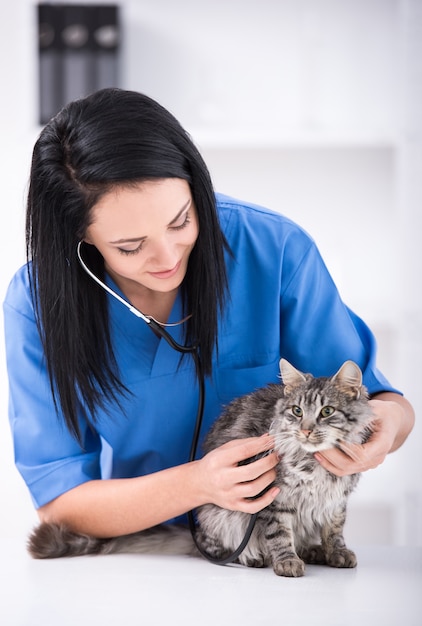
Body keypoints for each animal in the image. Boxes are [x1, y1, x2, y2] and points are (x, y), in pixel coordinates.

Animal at [28, 358, 372, 576]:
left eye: (326, 412)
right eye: (297, 411)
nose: (306, 430)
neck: (314, 466)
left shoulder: (336, 501)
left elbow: (334, 531)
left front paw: (336, 552)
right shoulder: (274, 501)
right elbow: (279, 535)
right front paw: (287, 561)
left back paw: (312, 551)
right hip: (219, 518)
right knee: (220, 549)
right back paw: (253, 557)